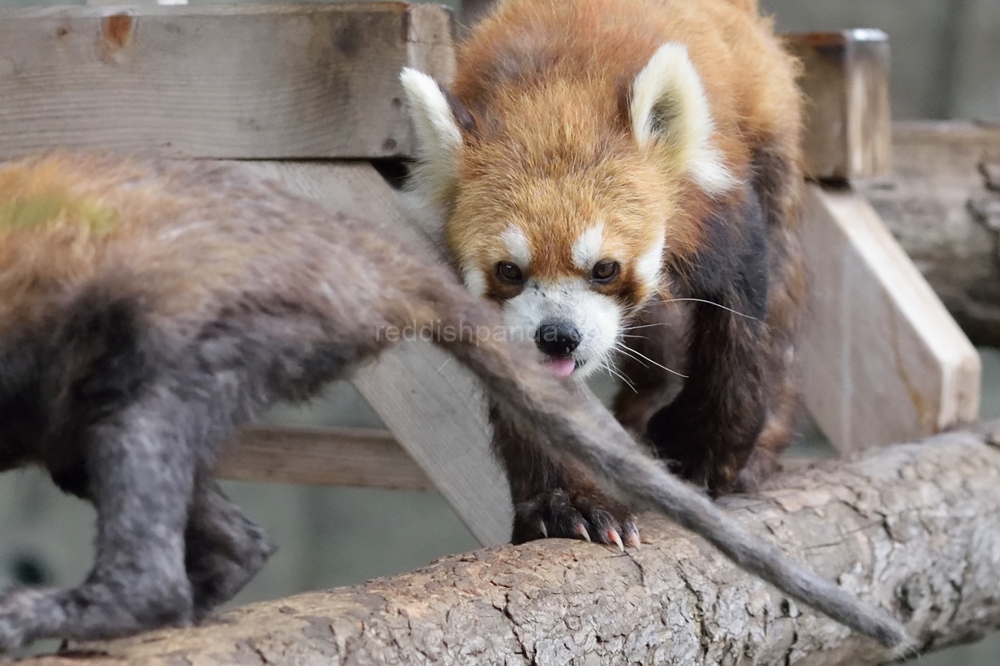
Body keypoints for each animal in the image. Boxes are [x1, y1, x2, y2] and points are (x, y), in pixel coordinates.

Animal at [398, 0, 804, 544]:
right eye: (509, 270)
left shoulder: (719, 208)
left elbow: (741, 324)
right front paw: (565, 503)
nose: (558, 336)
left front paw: (704, 451)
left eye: (605, 268)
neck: (556, 90)